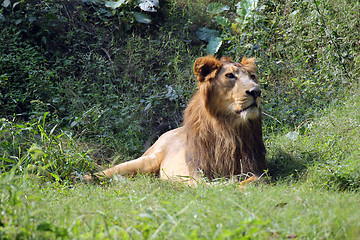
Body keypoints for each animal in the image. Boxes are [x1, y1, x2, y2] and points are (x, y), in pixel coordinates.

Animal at [82, 55, 268, 186]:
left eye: (252, 76)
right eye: (230, 76)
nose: (256, 91)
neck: (228, 127)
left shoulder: (256, 169)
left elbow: (253, 181)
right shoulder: (198, 172)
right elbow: (209, 185)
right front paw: (226, 184)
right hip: (146, 161)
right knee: (108, 171)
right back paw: (84, 177)